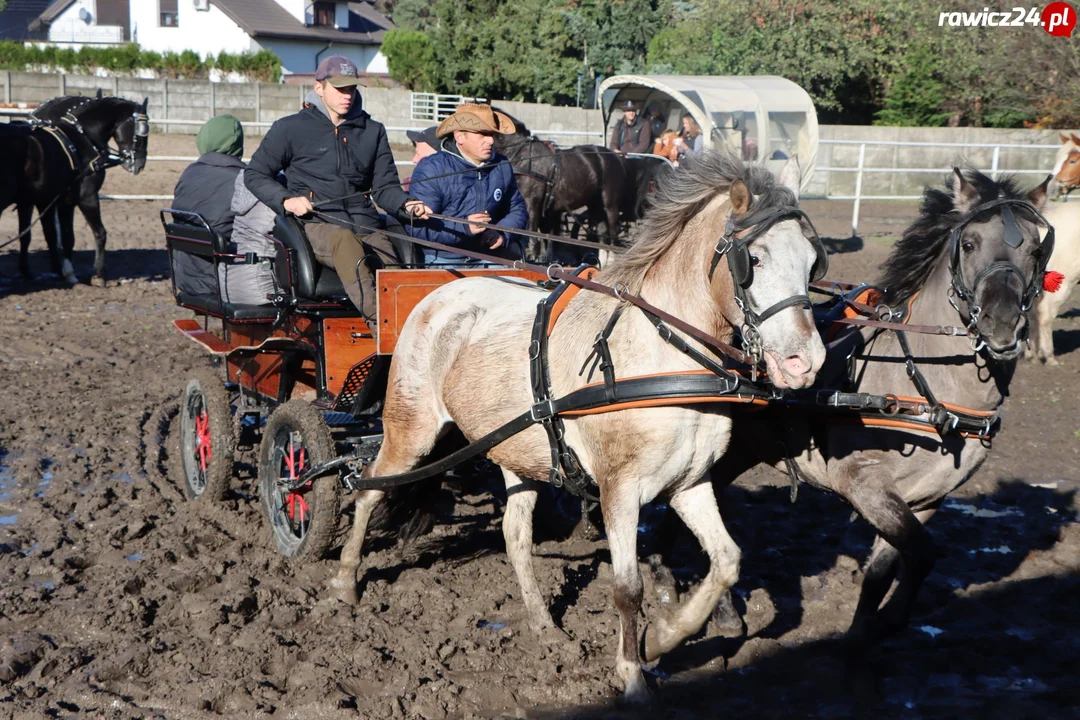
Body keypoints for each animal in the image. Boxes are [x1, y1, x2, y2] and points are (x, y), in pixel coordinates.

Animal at [3, 94, 150, 284]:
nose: (139, 165)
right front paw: (98, 274)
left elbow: (59, 236)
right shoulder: (86, 197)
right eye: (141, 132)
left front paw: (64, 271)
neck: (81, 137)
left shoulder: (56, 201)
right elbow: (99, 232)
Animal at [328, 155, 825, 699]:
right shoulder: (619, 488)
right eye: (753, 260)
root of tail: (440, 293)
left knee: (515, 535)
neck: (662, 361)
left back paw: (544, 625)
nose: (806, 362)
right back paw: (345, 582)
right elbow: (627, 588)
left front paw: (665, 637)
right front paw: (632, 675)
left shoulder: (690, 483)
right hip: (410, 428)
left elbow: (728, 561)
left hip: (517, 450)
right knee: (370, 488)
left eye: (811, 262)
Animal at [648, 169, 1054, 660]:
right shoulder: (864, 483)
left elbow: (890, 567)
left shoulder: (927, 499)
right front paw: (878, 627)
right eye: (971, 243)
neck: (923, 381)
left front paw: (866, 629)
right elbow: (921, 554)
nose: (1002, 323)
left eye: (1036, 248)